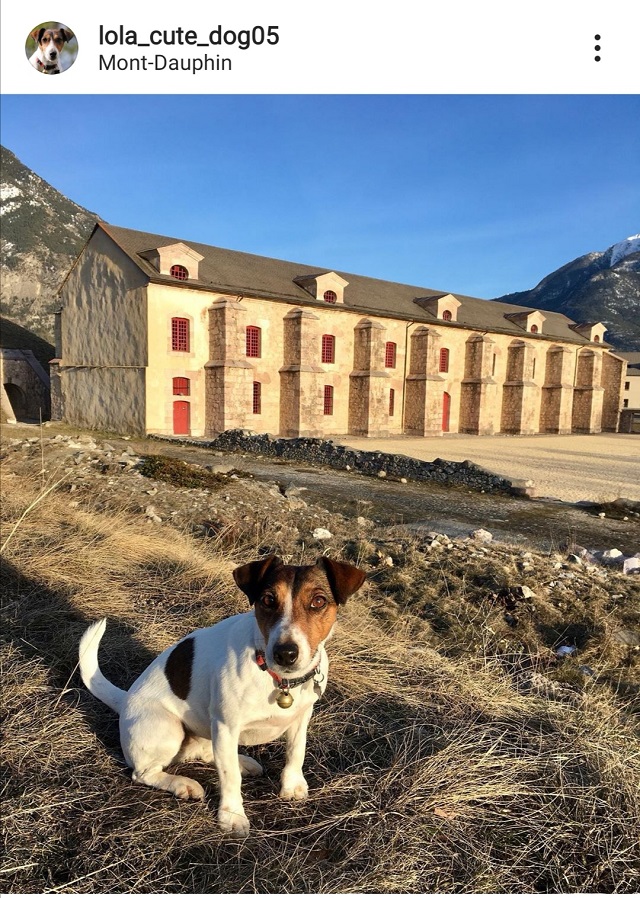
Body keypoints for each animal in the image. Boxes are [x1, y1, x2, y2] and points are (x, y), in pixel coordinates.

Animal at [77, 552, 364, 832]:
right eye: (268, 600)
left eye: (318, 601)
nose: (285, 653)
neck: (279, 679)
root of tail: (125, 698)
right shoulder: (226, 726)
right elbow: (229, 778)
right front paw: (232, 816)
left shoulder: (301, 717)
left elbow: (296, 751)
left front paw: (292, 786)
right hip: (168, 729)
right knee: (145, 772)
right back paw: (182, 783)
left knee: (207, 753)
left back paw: (241, 761)